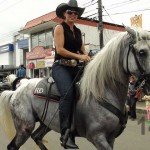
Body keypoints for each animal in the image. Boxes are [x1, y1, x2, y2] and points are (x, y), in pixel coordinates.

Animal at [0, 26, 150, 150]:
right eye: (142, 52)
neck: (102, 93)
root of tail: (18, 89)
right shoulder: (98, 138)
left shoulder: (111, 138)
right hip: (25, 127)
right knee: (13, 146)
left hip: (46, 122)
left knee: (37, 137)